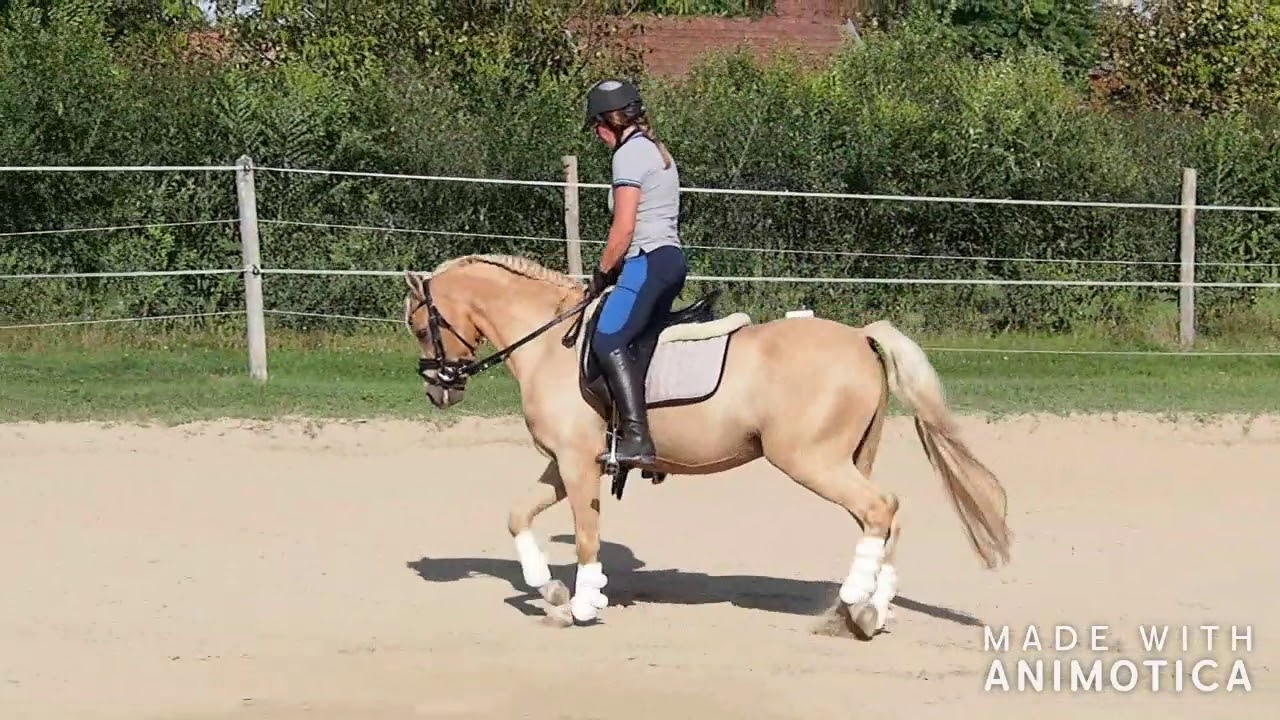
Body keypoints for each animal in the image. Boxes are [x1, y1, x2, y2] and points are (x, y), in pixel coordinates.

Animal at [402, 252, 1012, 637]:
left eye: (421, 326)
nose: (437, 389)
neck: (554, 340)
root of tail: (860, 336)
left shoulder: (576, 464)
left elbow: (587, 538)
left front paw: (582, 603)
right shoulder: (566, 463)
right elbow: (517, 515)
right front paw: (546, 589)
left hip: (811, 460)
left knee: (881, 509)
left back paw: (850, 607)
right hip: (849, 458)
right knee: (885, 516)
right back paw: (872, 609)